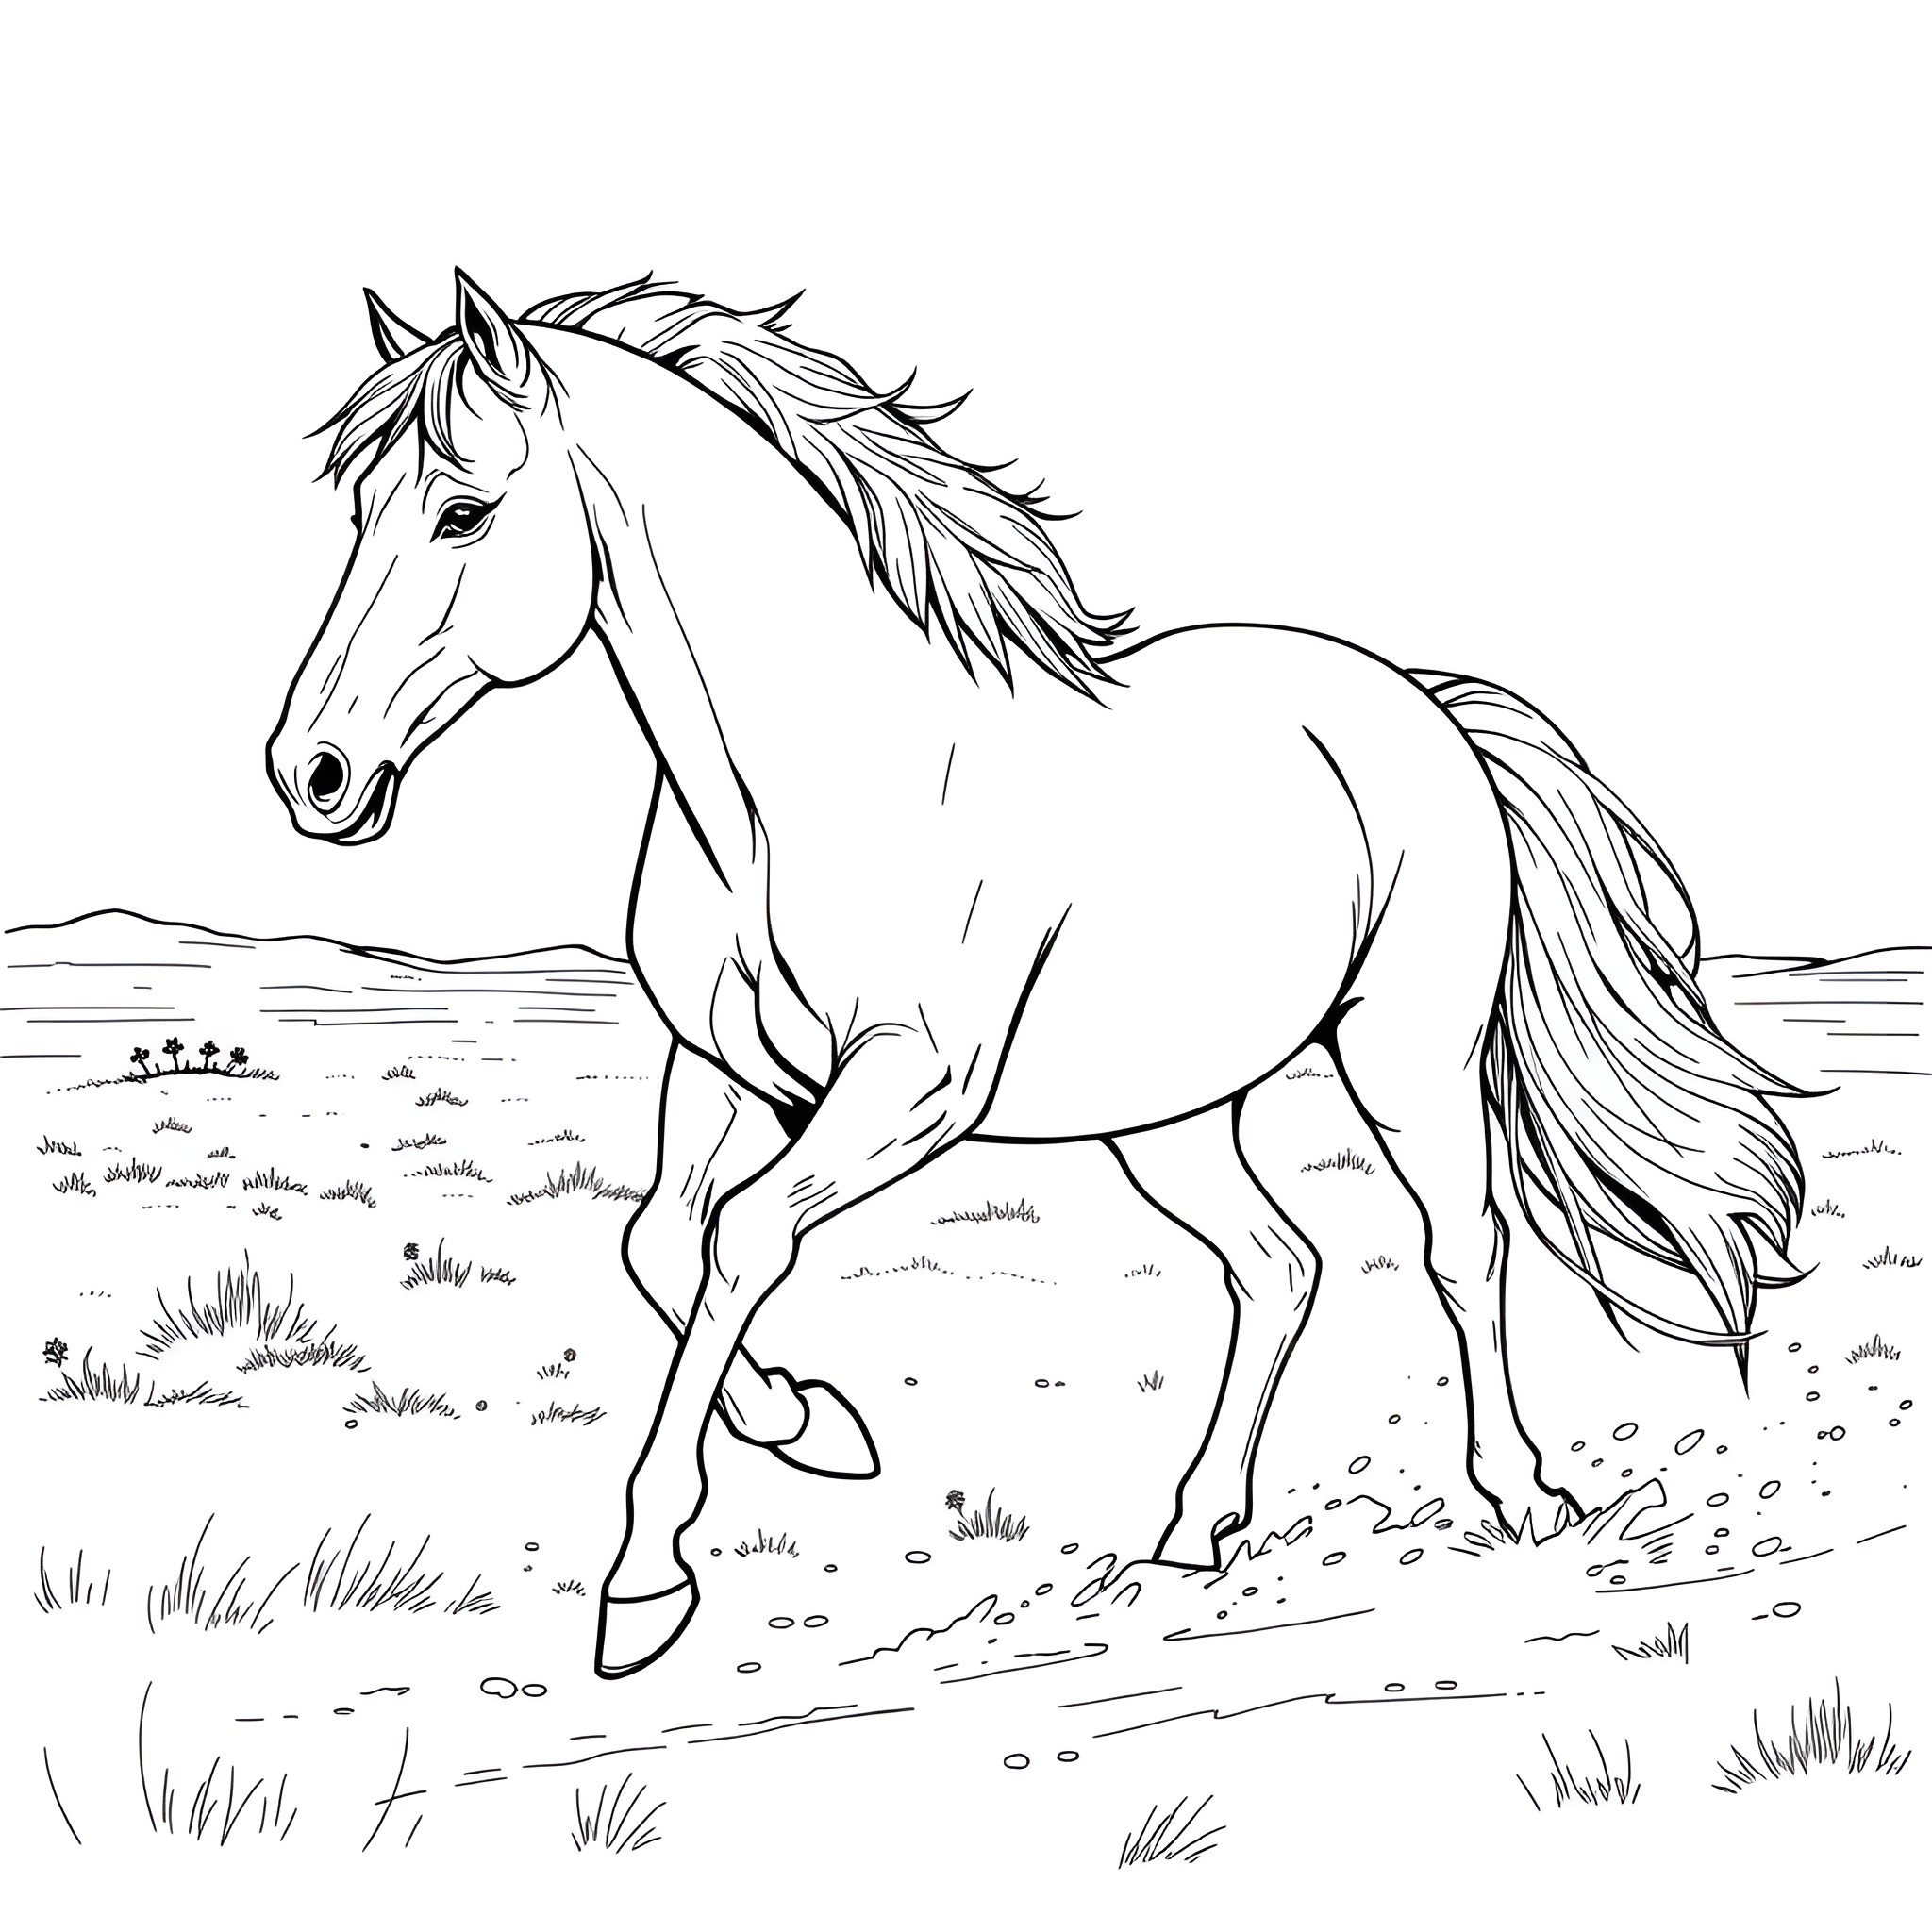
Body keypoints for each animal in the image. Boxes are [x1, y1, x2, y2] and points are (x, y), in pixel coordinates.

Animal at [267, 268, 1804, 1679]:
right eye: (357, 512)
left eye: (465, 512)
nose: (311, 774)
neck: (798, 783)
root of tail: (1421, 707)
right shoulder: (724, 1068)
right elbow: (661, 1241)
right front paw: (809, 1425)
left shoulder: (911, 1087)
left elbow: (743, 1239)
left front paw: (650, 1579)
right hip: (1169, 1111)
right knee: (1279, 1265)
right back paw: (1193, 1529)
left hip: (1403, 1057)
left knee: (1458, 1245)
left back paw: (1520, 1492)